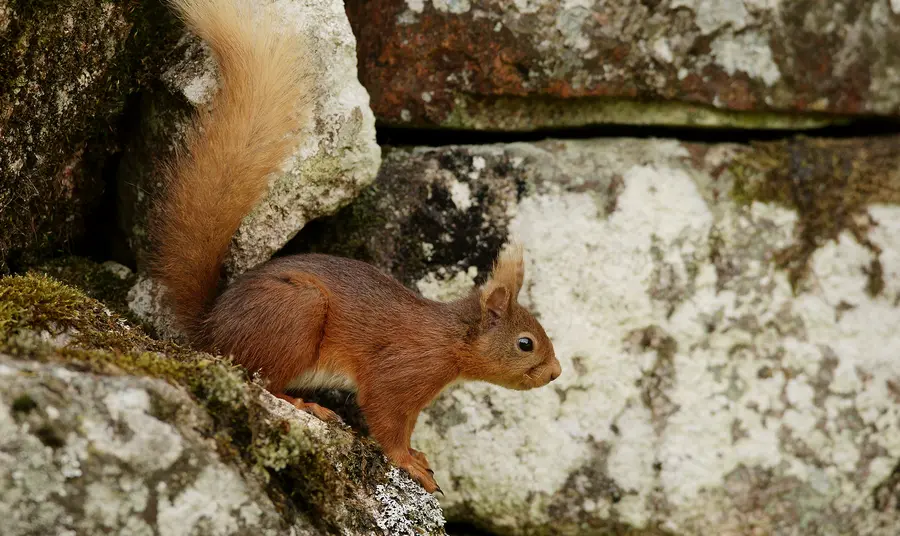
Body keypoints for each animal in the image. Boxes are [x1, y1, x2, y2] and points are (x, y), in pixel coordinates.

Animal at [154, 0, 564, 494]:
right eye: (525, 343)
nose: (556, 372)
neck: (448, 340)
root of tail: (210, 331)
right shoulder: (401, 373)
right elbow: (388, 419)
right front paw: (408, 462)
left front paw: (416, 457)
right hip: (296, 313)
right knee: (261, 379)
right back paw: (306, 405)